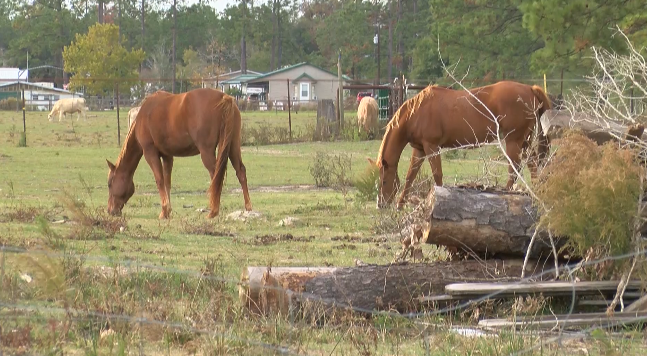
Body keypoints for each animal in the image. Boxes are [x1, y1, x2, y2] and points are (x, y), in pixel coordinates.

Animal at [105, 87, 252, 218]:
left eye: (109, 184)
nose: (110, 211)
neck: (144, 115)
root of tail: (224, 97)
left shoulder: (150, 152)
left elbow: (159, 180)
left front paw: (164, 211)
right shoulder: (167, 156)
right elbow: (167, 182)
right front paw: (168, 211)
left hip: (207, 152)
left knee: (215, 176)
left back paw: (213, 211)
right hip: (233, 146)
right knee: (240, 171)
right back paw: (248, 208)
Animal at [370, 80, 552, 209]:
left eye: (384, 181)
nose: (381, 205)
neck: (416, 113)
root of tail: (530, 89)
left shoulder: (432, 146)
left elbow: (437, 175)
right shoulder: (420, 149)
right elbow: (410, 176)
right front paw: (400, 205)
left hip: (513, 141)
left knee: (514, 169)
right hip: (524, 141)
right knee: (532, 164)